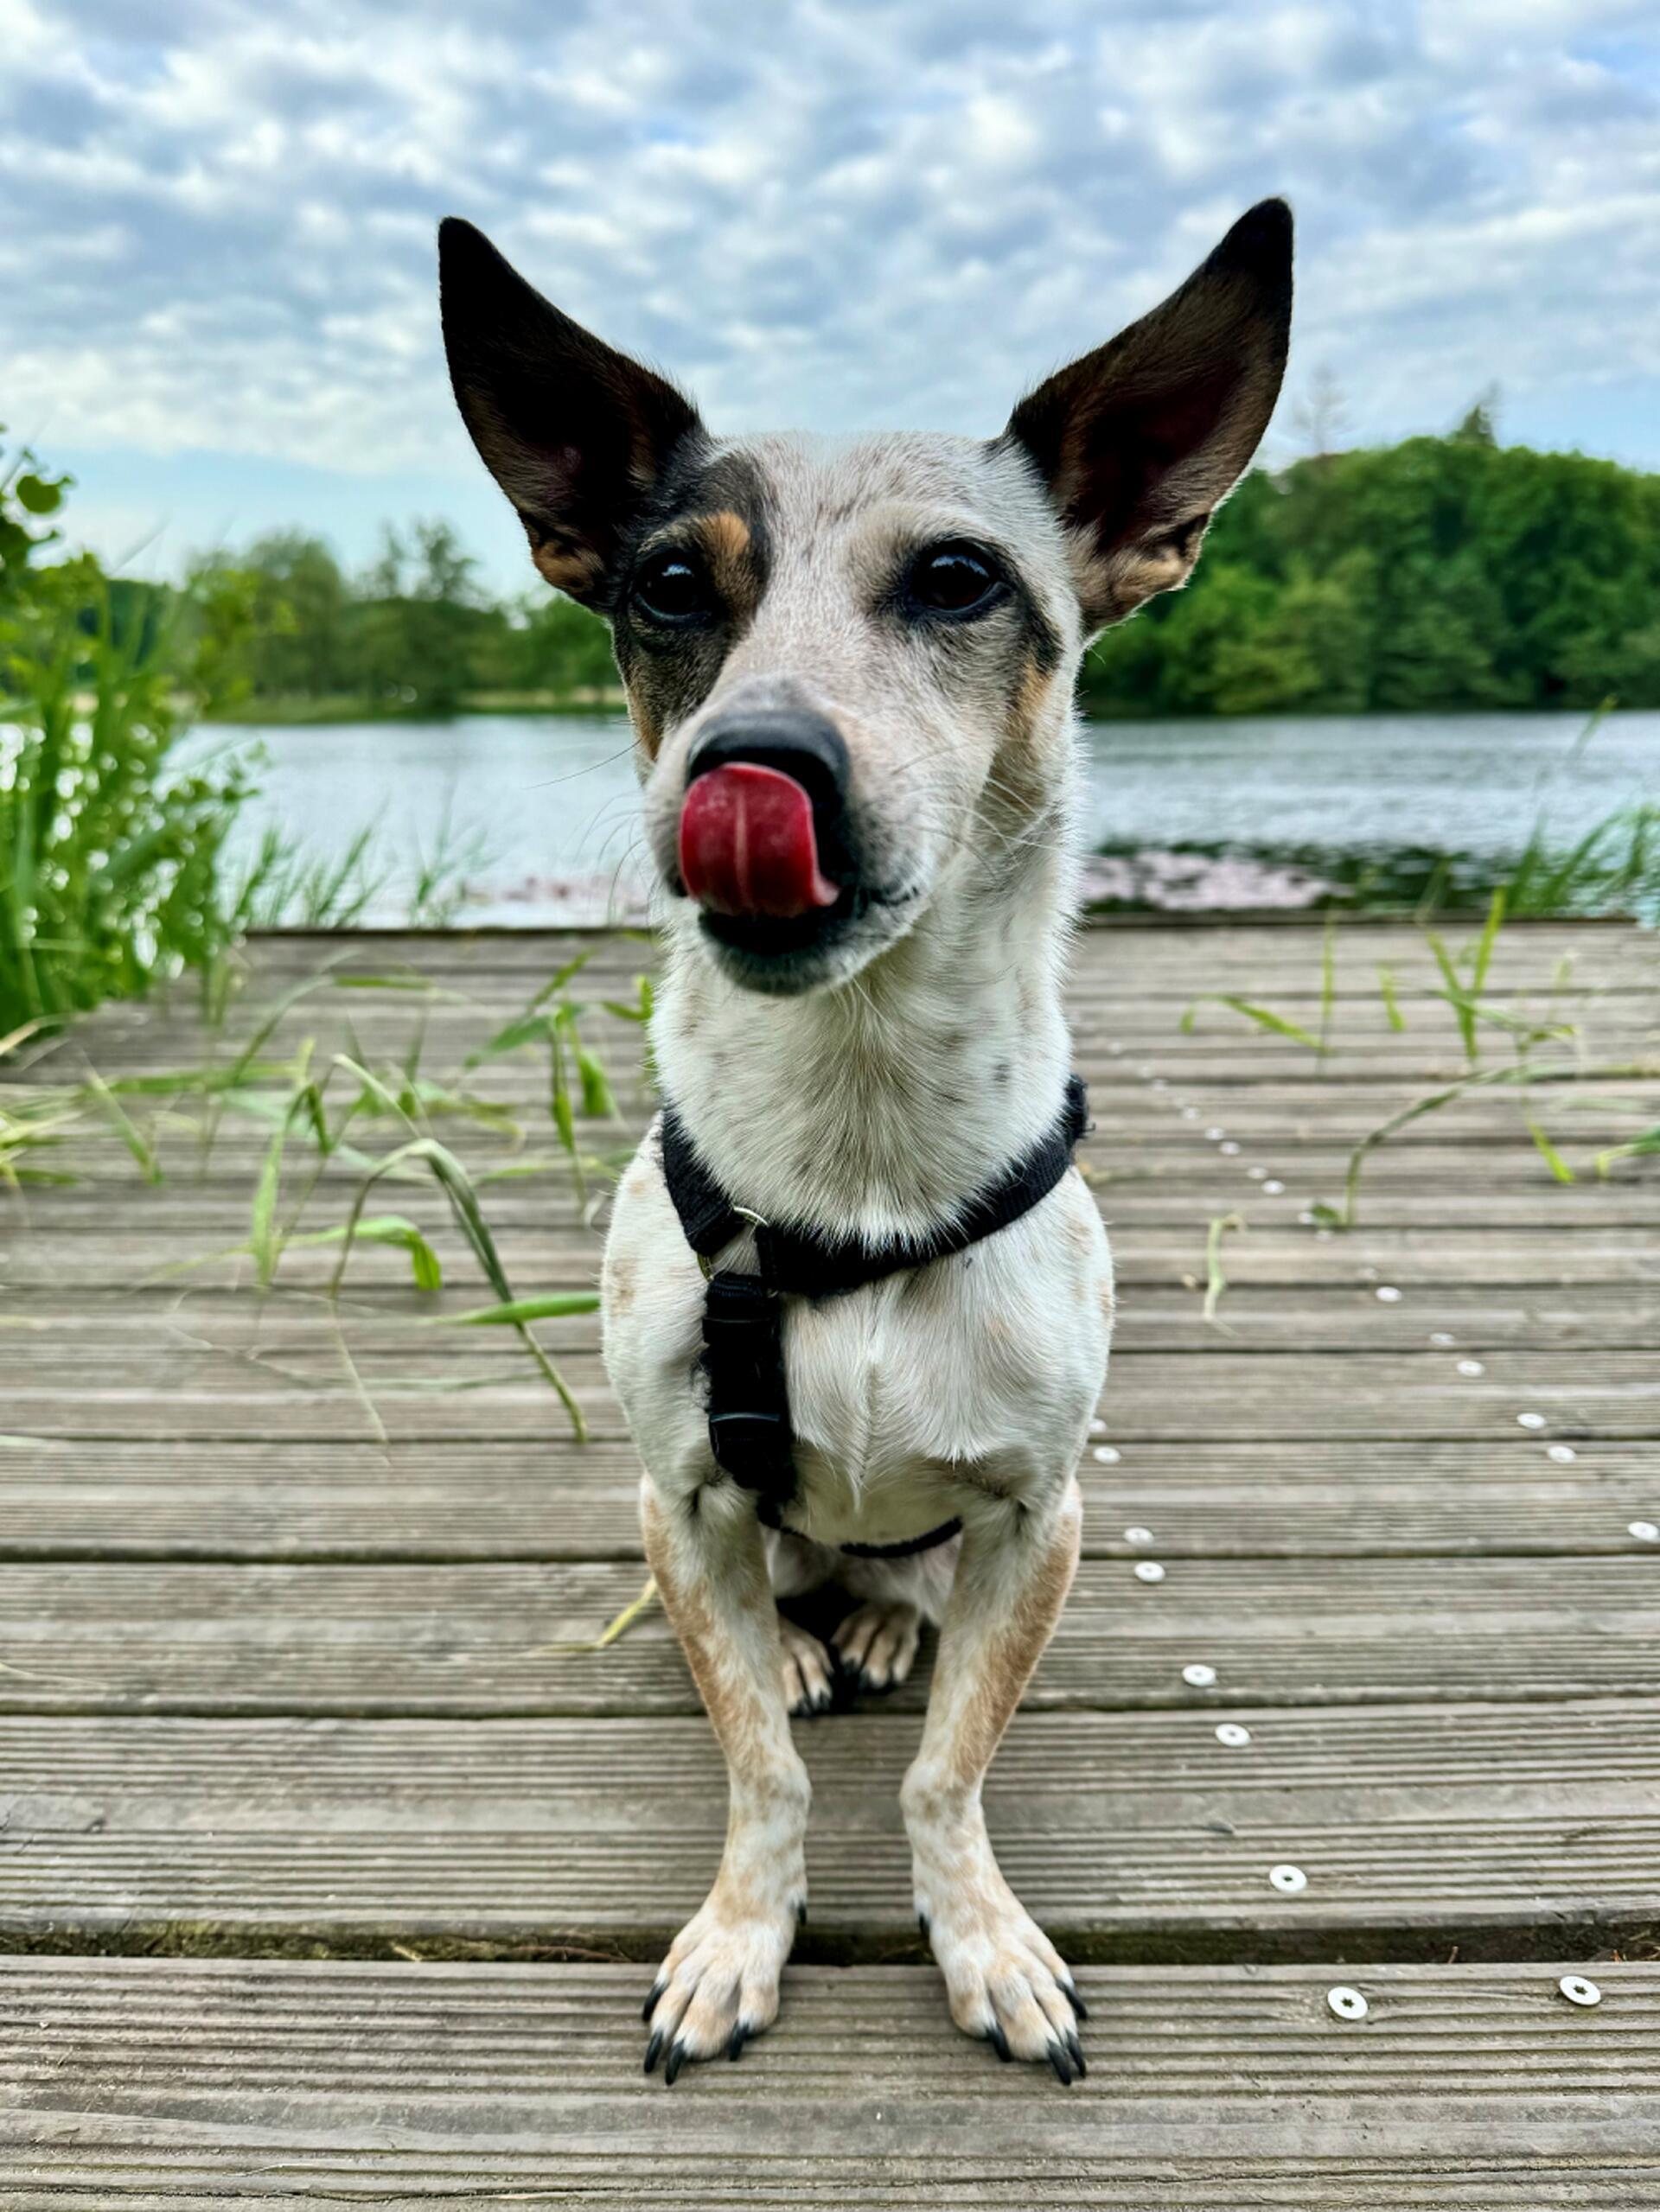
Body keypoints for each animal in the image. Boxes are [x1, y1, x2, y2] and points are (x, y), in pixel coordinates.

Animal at [443, 199, 1301, 2079]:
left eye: (958, 580)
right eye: (668, 586)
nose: (756, 763)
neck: (857, 1144)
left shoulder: (1042, 1517)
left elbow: (946, 1771)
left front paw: (981, 1937)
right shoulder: (679, 1501)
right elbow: (761, 1766)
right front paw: (737, 1934)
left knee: (896, 1585)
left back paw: (886, 1619)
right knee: (782, 1603)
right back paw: (809, 1639)